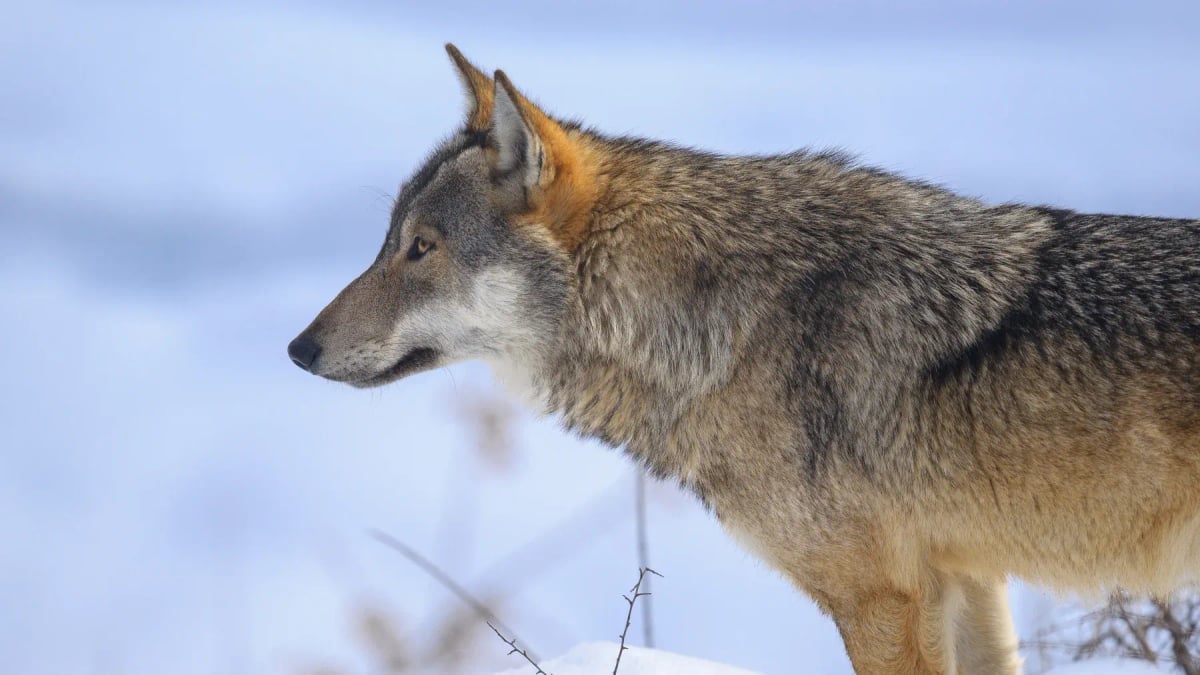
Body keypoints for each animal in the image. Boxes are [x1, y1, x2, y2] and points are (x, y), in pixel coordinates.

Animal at [288, 45, 1200, 674]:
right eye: (389, 241)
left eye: (422, 248)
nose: (298, 348)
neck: (728, 326)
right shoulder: (969, 580)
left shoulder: (884, 598)